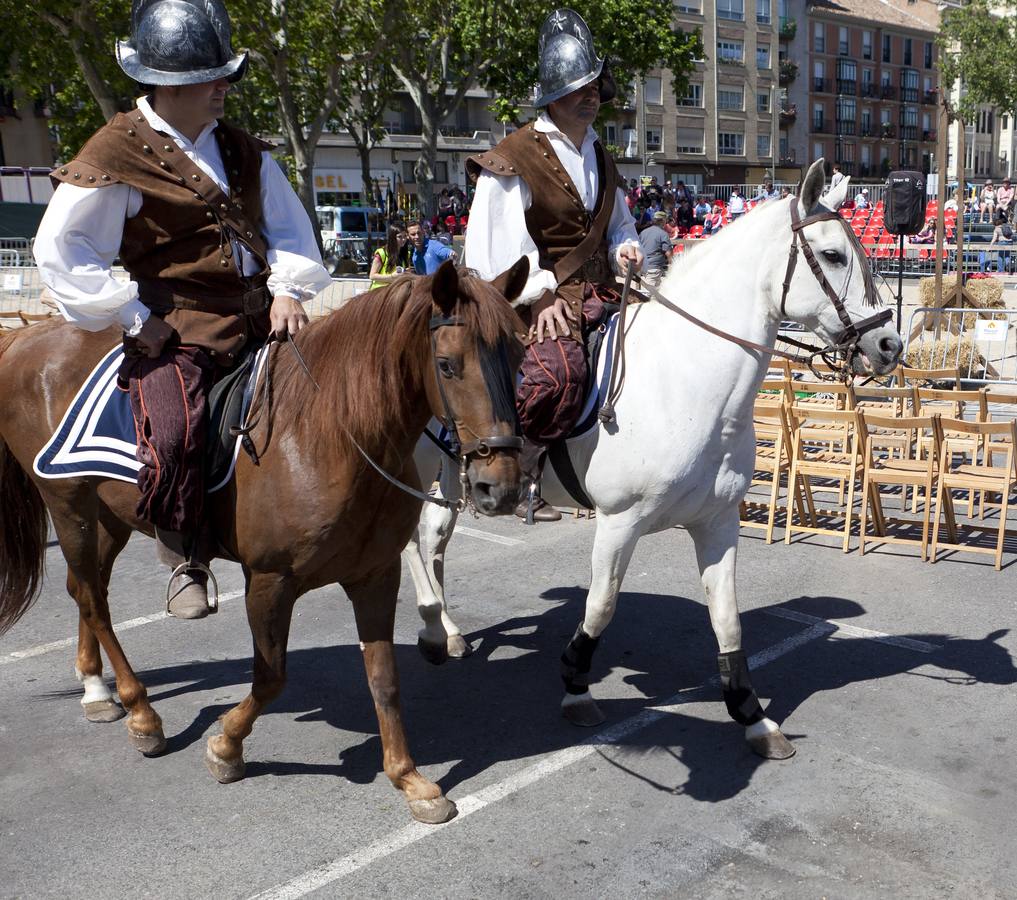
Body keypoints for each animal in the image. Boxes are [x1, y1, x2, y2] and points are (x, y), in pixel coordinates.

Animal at [0, 258, 524, 821]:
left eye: (519, 356)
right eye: (447, 365)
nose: (502, 487)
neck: (329, 435)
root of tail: (28, 337)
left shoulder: (375, 575)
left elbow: (384, 677)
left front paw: (410, 779)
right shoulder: (270, 581)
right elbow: (270, 677)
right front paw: (225, 747)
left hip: (109, 514)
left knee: (85, 588)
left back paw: (97, 690)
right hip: (67, 503)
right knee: (93, 599)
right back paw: (142, 714)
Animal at [400, 161, 903, 756]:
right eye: (832, 255)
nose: (891, 345)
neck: (685, 380)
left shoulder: (717, 522)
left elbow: (728, 620)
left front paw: (753, 716)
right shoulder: (620, 522)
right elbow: (601, 606)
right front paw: (576, 687)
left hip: (456, 474)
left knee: (433, 538)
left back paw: (450, 632)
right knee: (411, 542)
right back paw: (433, 629)